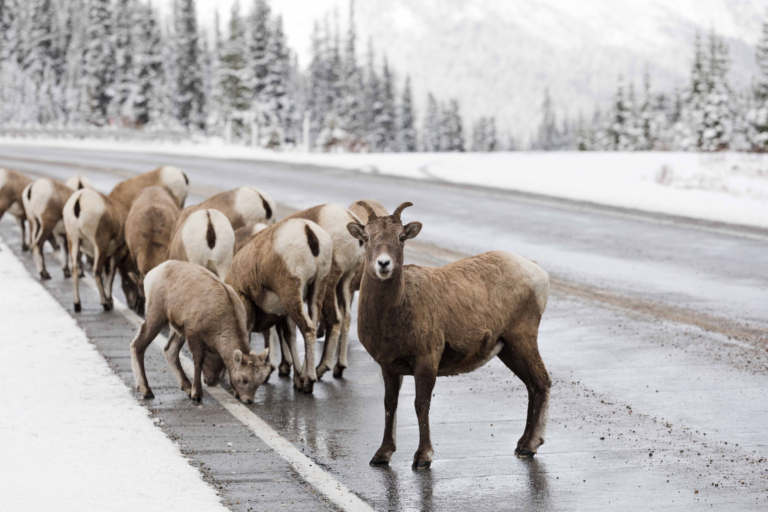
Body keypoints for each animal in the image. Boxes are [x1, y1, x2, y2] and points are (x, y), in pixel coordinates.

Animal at [130, 260, 270, 403]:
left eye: (259, 382)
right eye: (244, 380)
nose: (249, 400)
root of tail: (154, 272)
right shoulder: (193, 334)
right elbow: (198, 361)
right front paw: (196, 394)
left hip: (177, 330)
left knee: (170, 351)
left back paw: (186, 387)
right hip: (157, 315)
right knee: (138, 345)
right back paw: (146, 391)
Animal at [285, 204, 365, 380]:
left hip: (329, 284)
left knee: (335, 319)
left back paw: (320, 369)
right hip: (345, 283)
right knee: (346, 317)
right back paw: (338, 368)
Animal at [347, 201, 551, 468]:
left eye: (401, 237)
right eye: (367, 237)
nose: (384, 264)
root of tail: (538, 271)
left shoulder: (426, 361)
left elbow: (421, 405)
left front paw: (423, 457)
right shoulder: (388, 366)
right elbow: (390, 405)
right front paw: (382, 455)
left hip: (522, 338)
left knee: (542, 382)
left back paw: (529, 447)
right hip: (508, 349)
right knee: (532, 386)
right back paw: (522, 445)